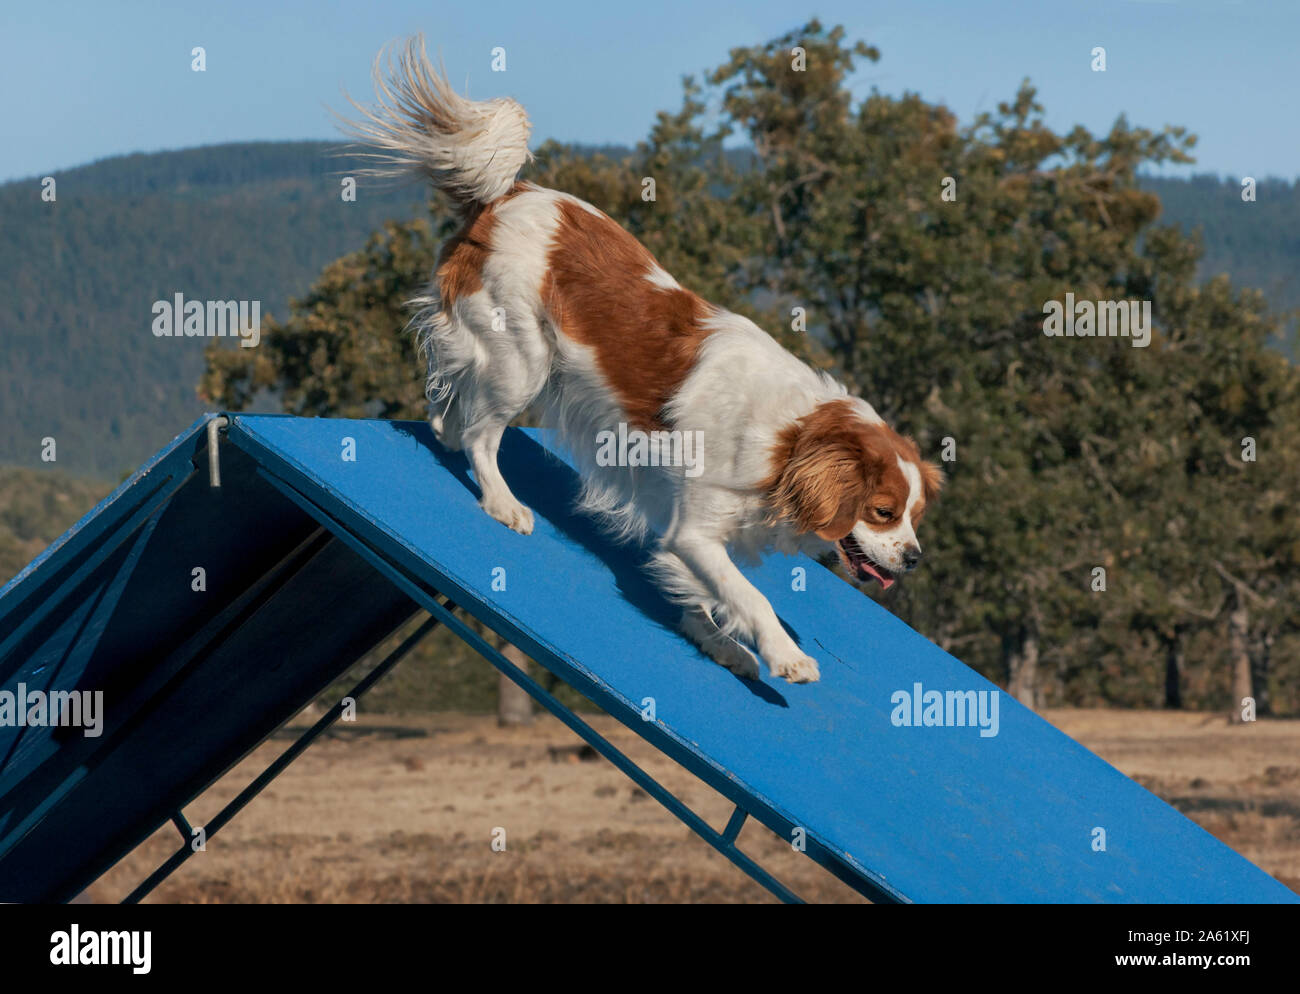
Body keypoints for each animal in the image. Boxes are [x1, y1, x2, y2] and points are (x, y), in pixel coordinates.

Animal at [340, 38, 941, 686]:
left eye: (914, 515)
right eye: (882, 512)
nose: (914, 558)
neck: (788, 440)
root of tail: (510, 195)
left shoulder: (688, 528)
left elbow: (708, 599)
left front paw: (718, 643)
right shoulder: (695, 531)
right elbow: (751, 596)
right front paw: (786, 655)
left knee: (449, 404)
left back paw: (446, 432)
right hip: (523, 359)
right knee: (482, 433)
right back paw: (502, 501)